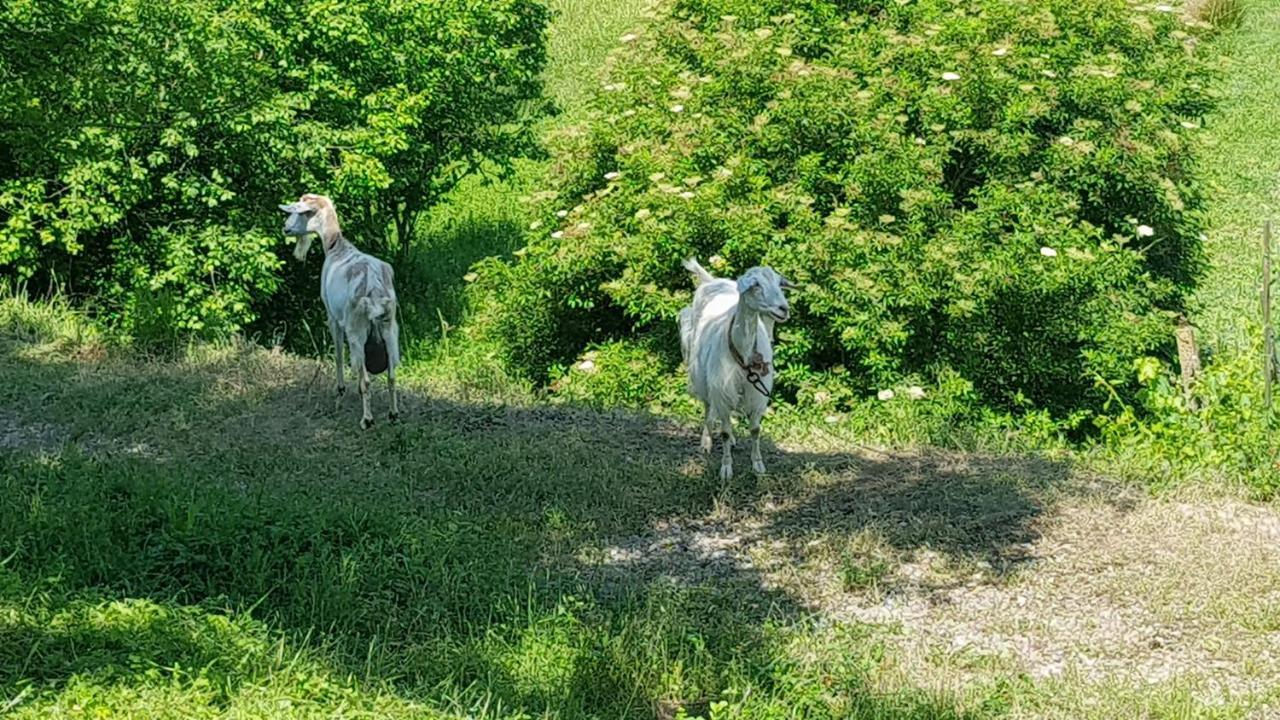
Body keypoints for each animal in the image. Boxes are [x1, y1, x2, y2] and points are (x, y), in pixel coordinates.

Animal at [280, 192, 399, 425]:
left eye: (301, 212)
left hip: (356, 330)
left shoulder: (332, 317)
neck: (336, 247)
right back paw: (393, 414)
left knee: (366, 379)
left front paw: (341, 389)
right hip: (390, 328)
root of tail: (373, 286)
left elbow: (338, 354)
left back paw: (367, 420)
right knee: (391, 375)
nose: (286, 229)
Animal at [680, 254, 788, 479]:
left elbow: (755, 430)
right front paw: (726, 468)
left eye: (779, 283)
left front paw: (758, 465)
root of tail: (712, 281)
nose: (784, 309)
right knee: (708, 410)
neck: (744, 354)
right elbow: (724, 431)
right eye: (756, 285)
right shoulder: (721, 389)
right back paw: (706, 442)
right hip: (702, 376)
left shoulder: (757, 393)